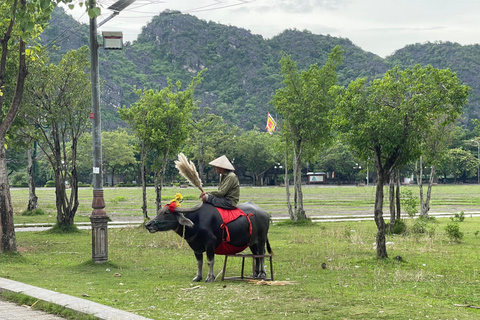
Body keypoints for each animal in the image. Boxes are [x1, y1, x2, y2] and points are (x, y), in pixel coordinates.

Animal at [144, 201, 272, 282]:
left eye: (166, 213)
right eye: (159, 212)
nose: (148, 225)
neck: (196, 223)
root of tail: (265, 213)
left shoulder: (210, 245)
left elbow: (210, 261)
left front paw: (210, 277)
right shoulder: (195, 248)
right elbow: (199, 263)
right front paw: (198, 277)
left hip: (261, 239)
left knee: (262, 254)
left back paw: (262, 273)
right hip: (252, 242)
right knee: (256, 255)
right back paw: (255, 273)